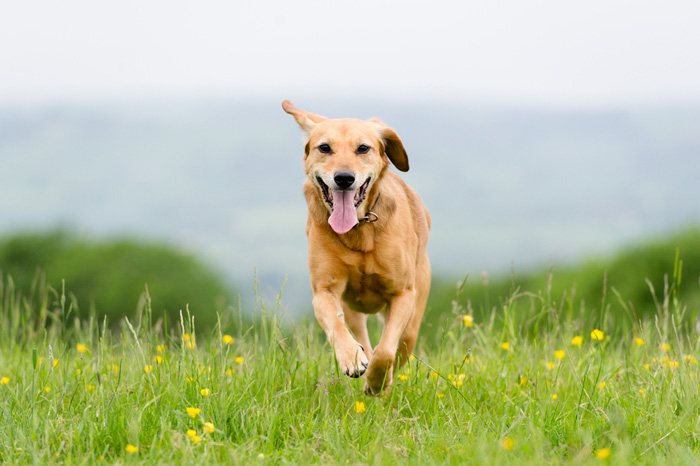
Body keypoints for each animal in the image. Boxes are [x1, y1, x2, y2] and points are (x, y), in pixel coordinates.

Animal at [282, 100, 430, 396]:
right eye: (324, 147)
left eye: (363, 148)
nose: (344, 178)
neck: (359, 229)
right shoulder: (324, 290)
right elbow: (337, 327)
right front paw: (352, 358)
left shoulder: (403, 294)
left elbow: (385, 352)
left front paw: (377, 381)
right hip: (352, 310)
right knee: (360, 335)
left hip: (412, 320)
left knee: (397, 347)